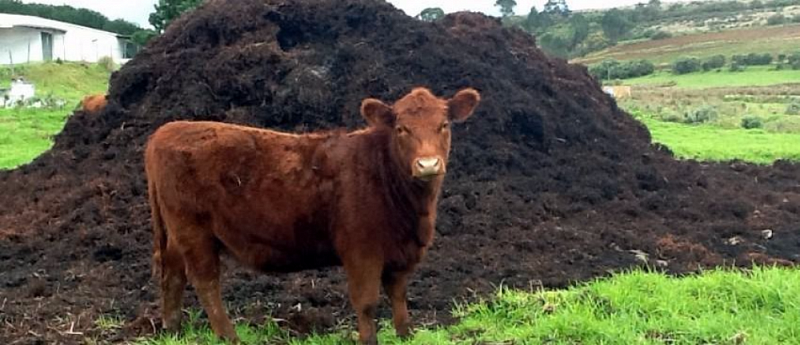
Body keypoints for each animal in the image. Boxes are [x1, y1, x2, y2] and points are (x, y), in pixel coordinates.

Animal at [145, 87, 482, 342]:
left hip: (177, 233)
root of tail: (166, 130)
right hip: (193, 230)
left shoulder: (401, 253)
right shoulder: (361, 250)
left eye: (444, 125)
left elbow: (398, 295)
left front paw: (405, 335)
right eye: (401, 129)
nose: (428, 164)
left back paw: (172, 330)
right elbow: (367, 302)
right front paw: (369, 339)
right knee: (205, 281)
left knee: (172, 273)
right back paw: (229, 337)